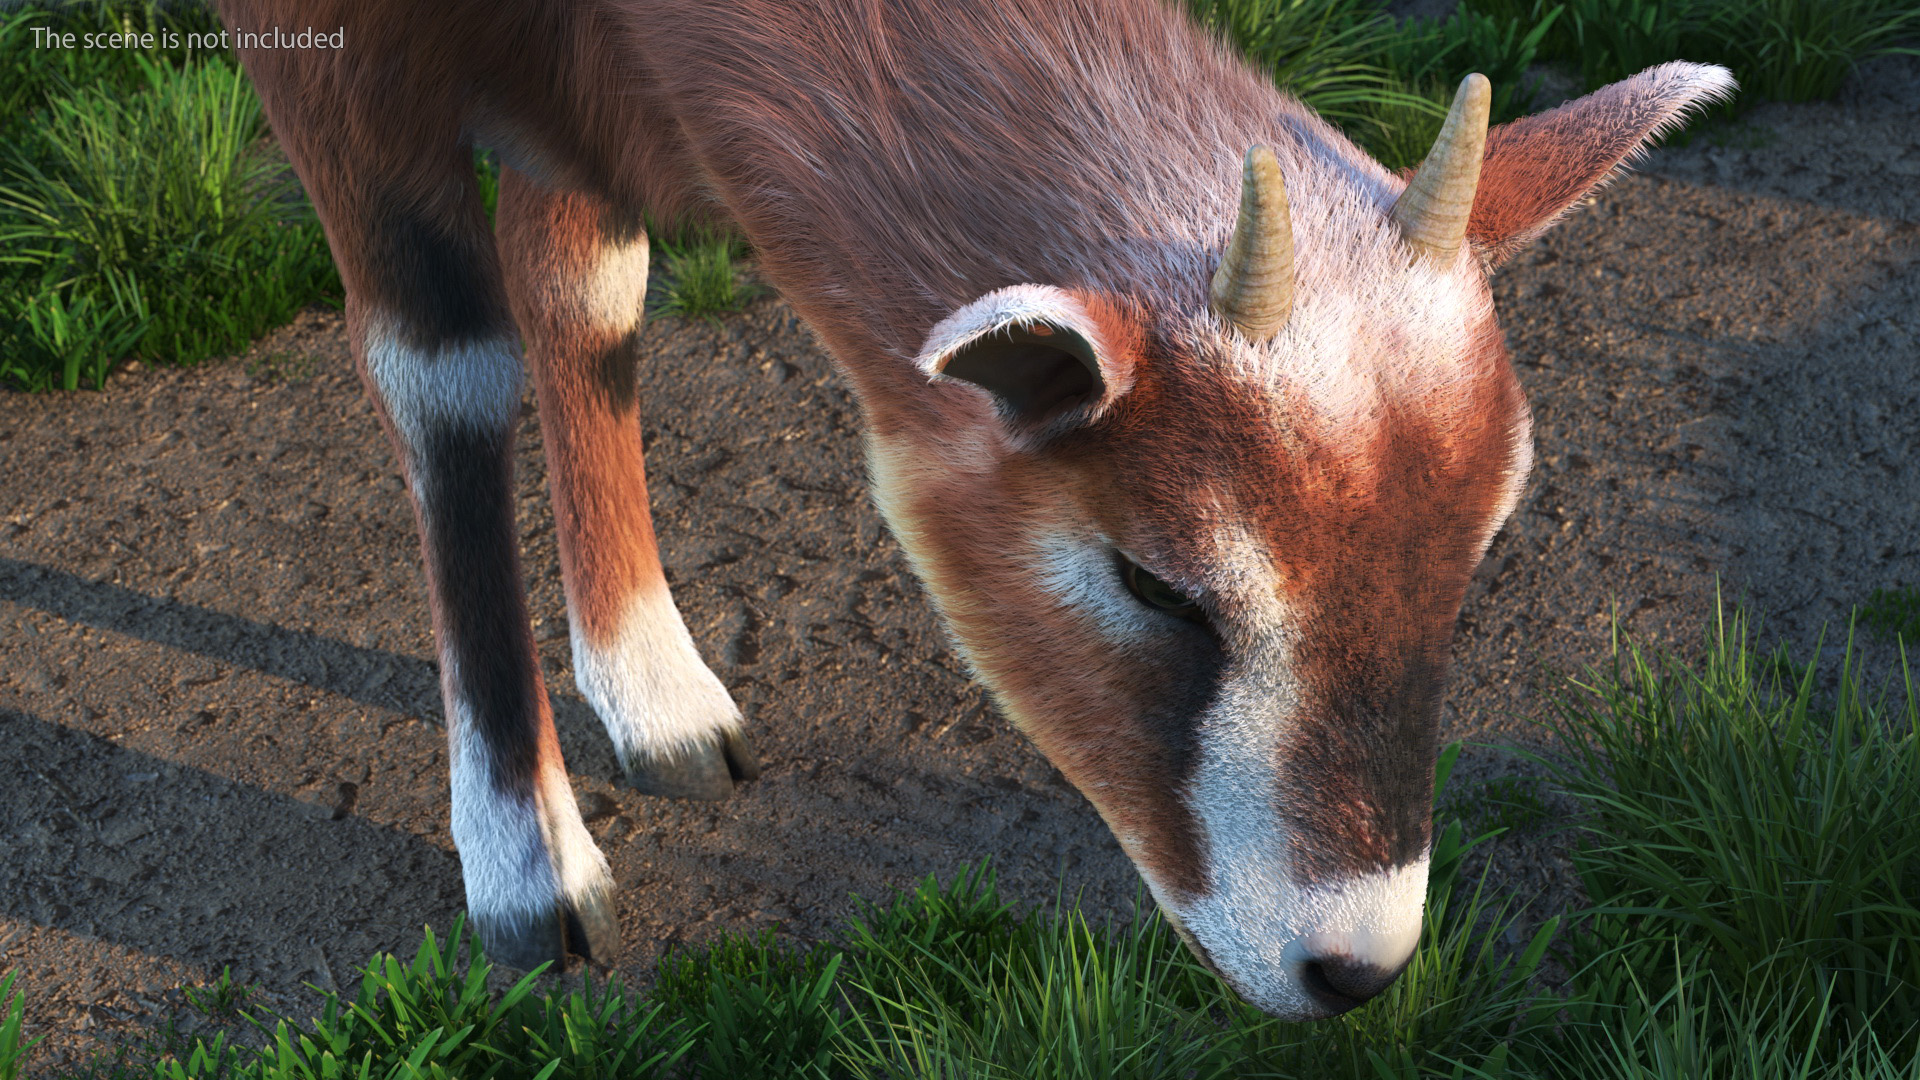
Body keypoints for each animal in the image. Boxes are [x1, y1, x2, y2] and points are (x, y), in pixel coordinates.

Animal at [217, 0, 1735, 1014]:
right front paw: (533, 879)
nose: (1354, 964)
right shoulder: (344, 57)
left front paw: (657, 701)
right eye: (1156, 581)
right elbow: (444, 371)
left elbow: (587, 290)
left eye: (1478, 548)